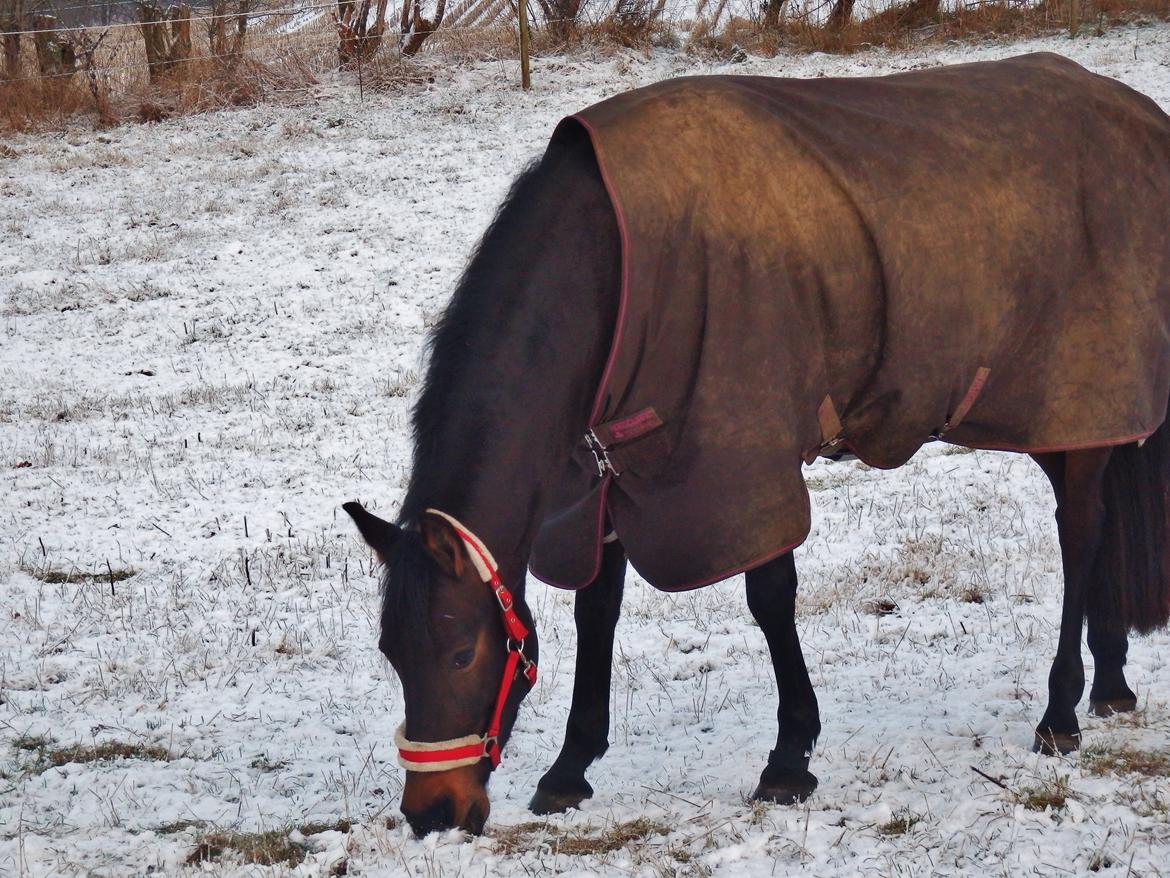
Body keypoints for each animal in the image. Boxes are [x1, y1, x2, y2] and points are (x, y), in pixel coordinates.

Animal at [343, 55, 1170, 838]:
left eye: (460, 651)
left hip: (1078, 398)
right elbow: (596, 611)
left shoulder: (744, 457)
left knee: (1080, 532)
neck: (615, 268)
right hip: (1062, 420)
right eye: (391, 652)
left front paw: (788, 759)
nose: (433, 812)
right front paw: (570, 769)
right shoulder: (607, 476)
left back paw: (1061, 711)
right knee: (1096, 526)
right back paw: (1112, 683)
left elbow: (769, 599)